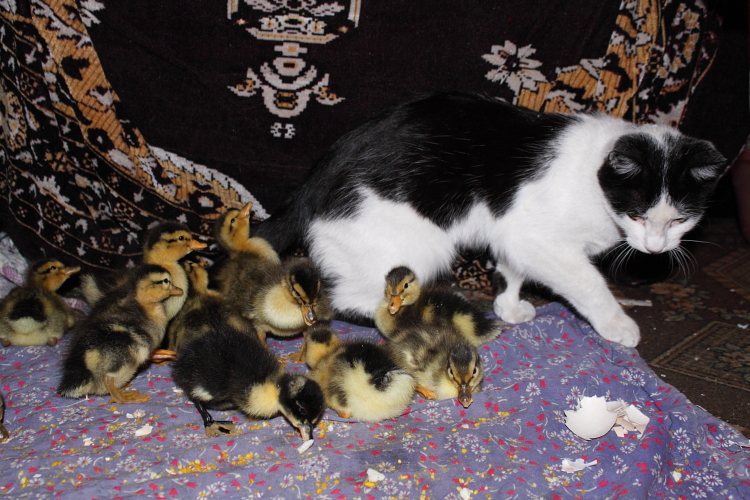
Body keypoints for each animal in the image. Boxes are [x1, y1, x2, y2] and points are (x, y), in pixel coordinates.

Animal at [254, 91, 728, 348]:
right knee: (346, 301)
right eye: (638, 214)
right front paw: (617, 324)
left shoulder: (511, 233)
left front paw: (508, 306)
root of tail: (317, 175)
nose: (656, 247)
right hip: (413, 248)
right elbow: (588, 283)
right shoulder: (539, 238)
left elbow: (510, 268)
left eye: (680, 220)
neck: (595, 178)